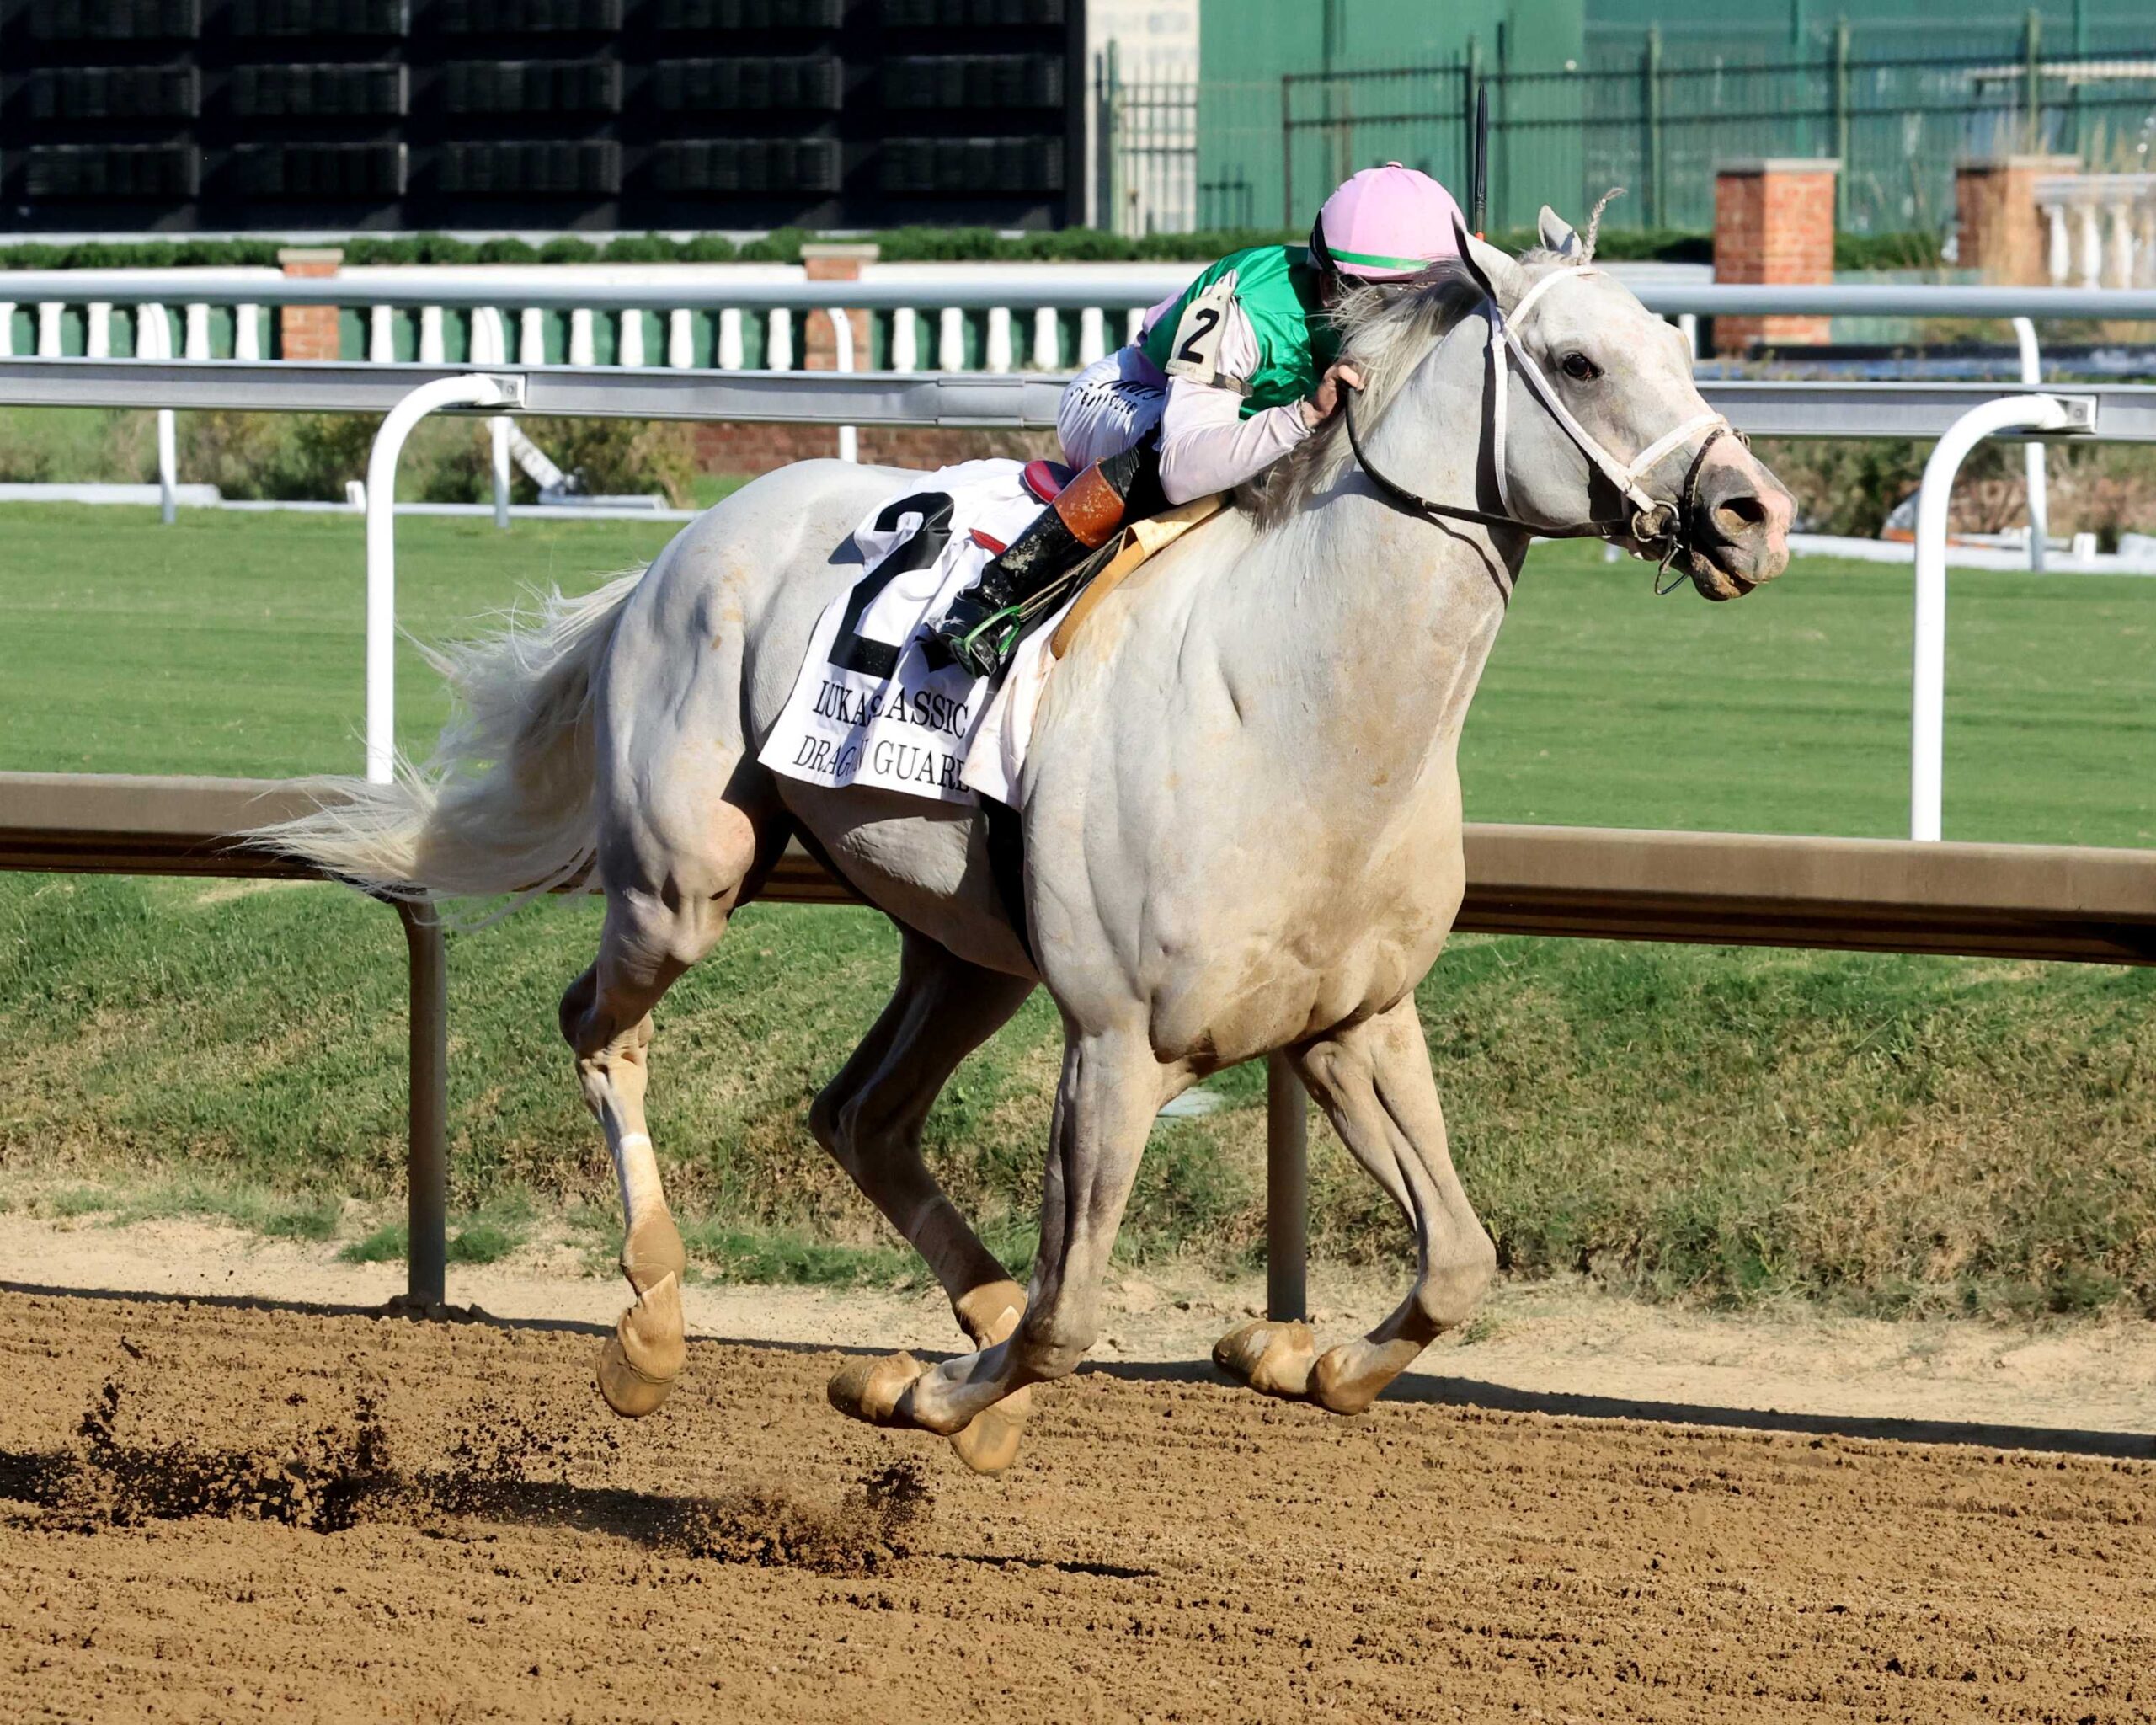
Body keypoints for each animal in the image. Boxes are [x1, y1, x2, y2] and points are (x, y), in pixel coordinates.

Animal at [262, 209, 1793, 1475]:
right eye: (1580, 363)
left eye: (1674, 342)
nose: (1754, 513)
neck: (1299, 707)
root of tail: (682, 545)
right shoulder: (1116, 1041)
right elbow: (1073, 1315)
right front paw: (920, 1391)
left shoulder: (1352, 1021)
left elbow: (1460, 1261)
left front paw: (1290, 1354)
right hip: (683, 878)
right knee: (600, 1025)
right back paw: (654, 1325)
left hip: (966, 946)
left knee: (860, 1113)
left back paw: (970, 1304)